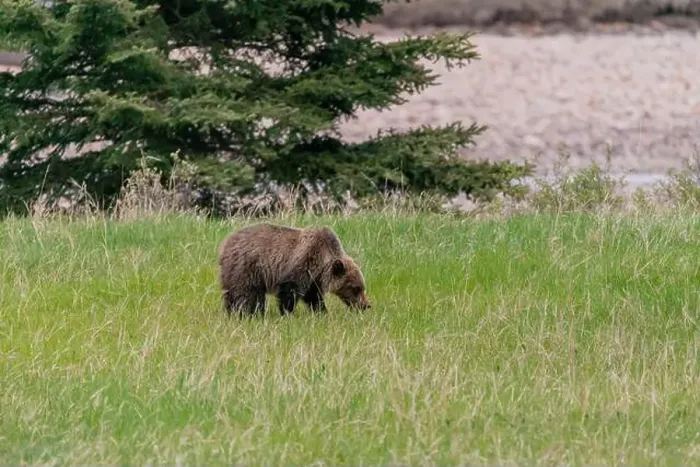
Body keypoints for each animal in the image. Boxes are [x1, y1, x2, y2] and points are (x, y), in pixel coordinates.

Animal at [217, 222, 371, 317]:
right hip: (247, 268)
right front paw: (287, 313)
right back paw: (249, 313)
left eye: (362, 287)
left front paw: (321, 311)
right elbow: (289, 290)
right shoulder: (304, 261)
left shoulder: (313, 277)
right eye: (356, 288)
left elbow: (313, 296)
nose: (366, 305)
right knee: (246, 294)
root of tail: (226, 243)